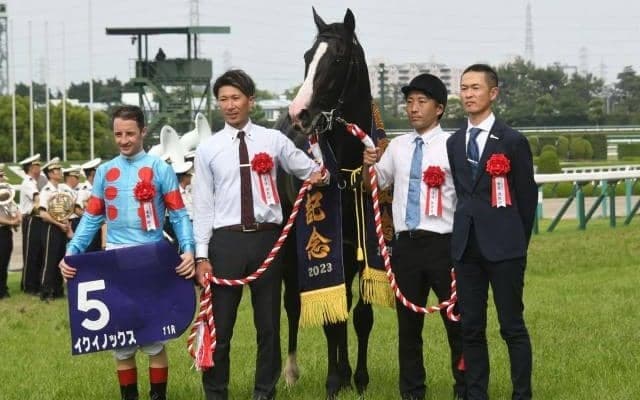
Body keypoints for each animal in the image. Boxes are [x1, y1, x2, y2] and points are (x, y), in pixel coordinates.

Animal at [276, 8, 380, 399]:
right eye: (308, 57)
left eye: (337, 59)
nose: (299, 112)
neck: (348, 171)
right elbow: (331, 320)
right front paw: (335, 381)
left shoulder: (362, 250)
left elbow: (360, 316)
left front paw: (359, 378)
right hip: (289, 250)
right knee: (292, 306)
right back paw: (291, 372)